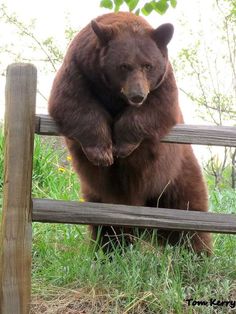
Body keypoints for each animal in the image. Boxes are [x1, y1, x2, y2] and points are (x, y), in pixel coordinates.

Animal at [48, 11, 212, 255]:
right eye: (124, 65)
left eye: (148, 65)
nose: (137, 95)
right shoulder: (78, 68)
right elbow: (72, 103)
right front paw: (103, 153)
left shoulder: (163, 83)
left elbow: (154, 110)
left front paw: (121, 147)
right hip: (100, 196)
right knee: (108, 228)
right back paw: (110, 251)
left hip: (176, 175)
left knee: (189, 213)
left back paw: (198, 254)